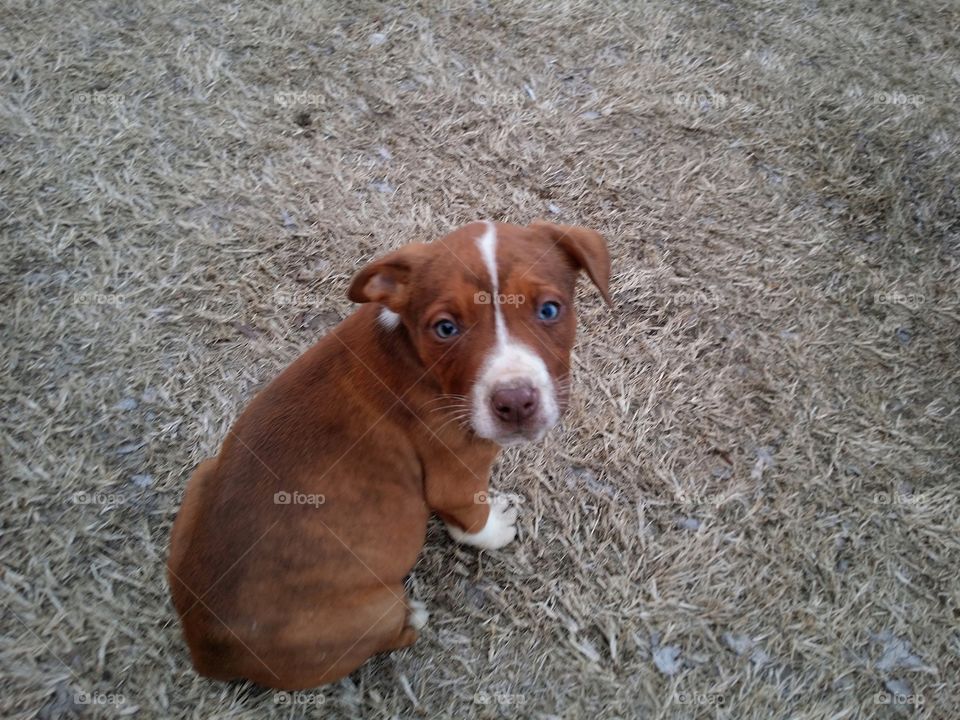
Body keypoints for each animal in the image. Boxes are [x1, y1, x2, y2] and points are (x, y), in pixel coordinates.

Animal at [169, 221, 612, 692]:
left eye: (549, 310)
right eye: (446, 328)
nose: (515, 403)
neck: (413, 351)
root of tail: (204, 650)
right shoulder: (456, 469)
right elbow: (469, 517)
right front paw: (494, 528)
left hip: (202, 475)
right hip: (373, 608)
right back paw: (412, 616)